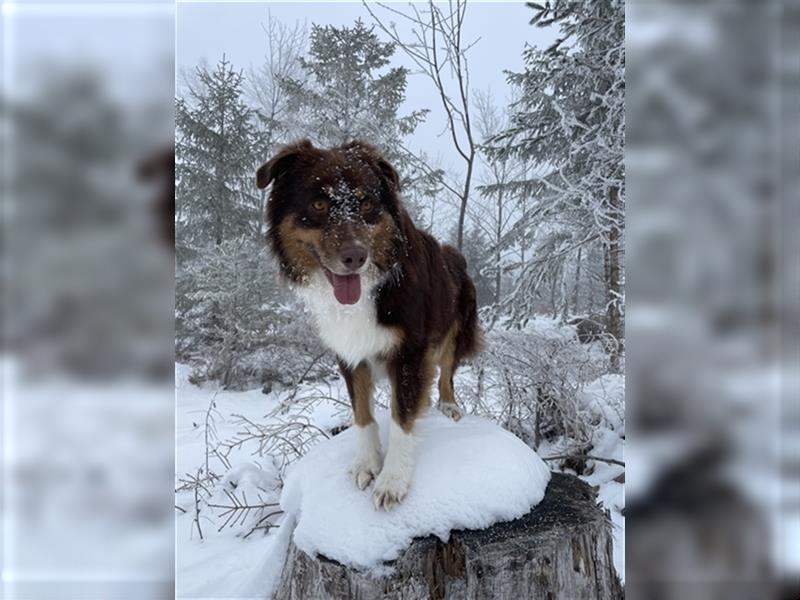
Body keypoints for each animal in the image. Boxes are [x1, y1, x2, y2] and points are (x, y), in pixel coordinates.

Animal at [256, 138, 482, 508]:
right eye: (318, 203)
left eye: (365, 203)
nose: (355, 256)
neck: (368, 290)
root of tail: (455, 254)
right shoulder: (349, 351)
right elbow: (362, 413)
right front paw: (367, 463)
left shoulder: (410, 351)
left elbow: (402, 416)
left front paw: (392, 479)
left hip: (456, 328)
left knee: (446, 370)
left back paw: (449, 406)